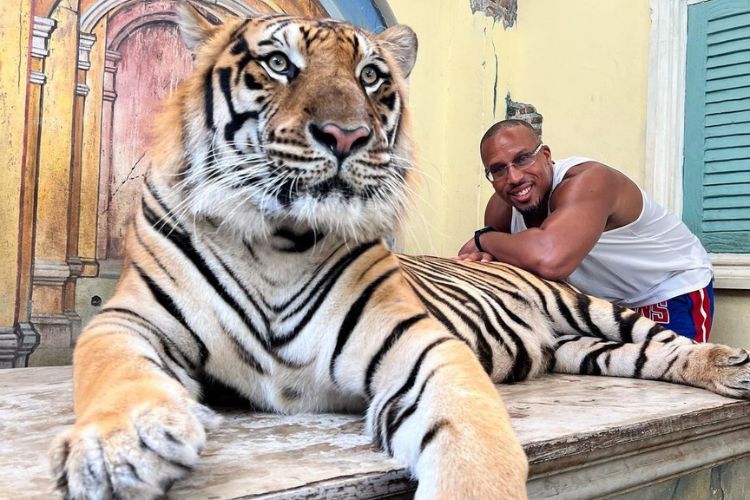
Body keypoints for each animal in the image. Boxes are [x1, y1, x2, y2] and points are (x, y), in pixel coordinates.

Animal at [50, 1, 750, 498]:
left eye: (371, 77)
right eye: (279, 65)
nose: (346, 135)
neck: (277, 243)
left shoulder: (420, 347)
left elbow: (473, 444)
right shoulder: (129, 320)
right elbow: (112, 368)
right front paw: (119, 448)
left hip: (589, 309)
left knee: (666, 341)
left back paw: (730, 367)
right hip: (580, 350)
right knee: (641, 359)